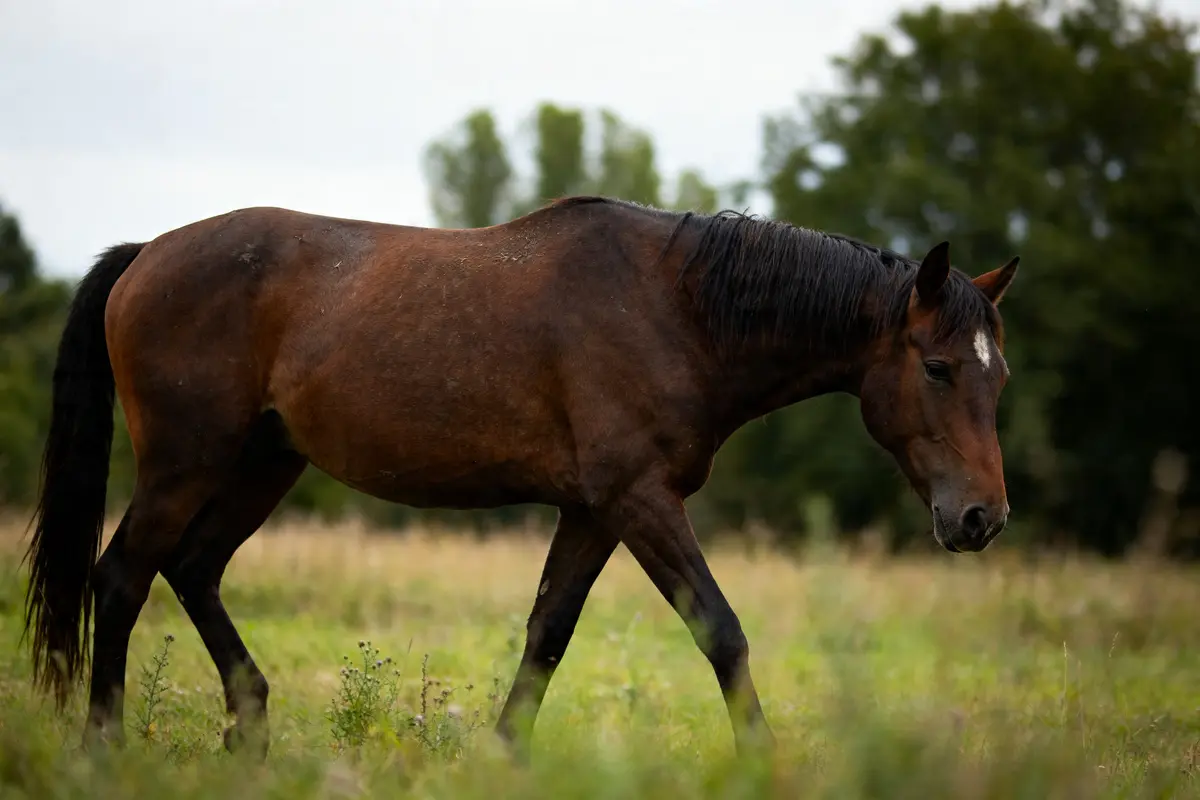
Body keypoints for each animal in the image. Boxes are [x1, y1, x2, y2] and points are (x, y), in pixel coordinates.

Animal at [22, 195, 1019, 759]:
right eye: (937, 369)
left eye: (997, 374)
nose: (982, 519)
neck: (680, 309)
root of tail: (145, 255)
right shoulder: (638, 500)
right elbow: (722, 632)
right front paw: (763, 762)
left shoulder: (594, 511)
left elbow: (547, 634)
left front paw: (504, 757)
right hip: (186, 464)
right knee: (122, 576)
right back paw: (105, 747)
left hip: (263, 463)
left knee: (191, 569)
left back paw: (251, 729)